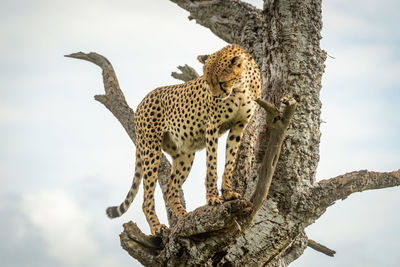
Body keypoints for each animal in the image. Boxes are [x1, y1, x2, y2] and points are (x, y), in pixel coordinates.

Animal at [106, 45, 262, 236]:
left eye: (221, 82)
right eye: (207, 82)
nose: (216, 97)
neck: (240, 87)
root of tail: (144, 100)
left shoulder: (239, 126)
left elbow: (229, 162)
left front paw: (228, 193)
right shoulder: (212, 127)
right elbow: (212, 165)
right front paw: (212, 197)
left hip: (184, 154)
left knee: (170, 190)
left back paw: (184, 217)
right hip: (151, 149)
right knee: (147, 196)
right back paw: (156, 227)